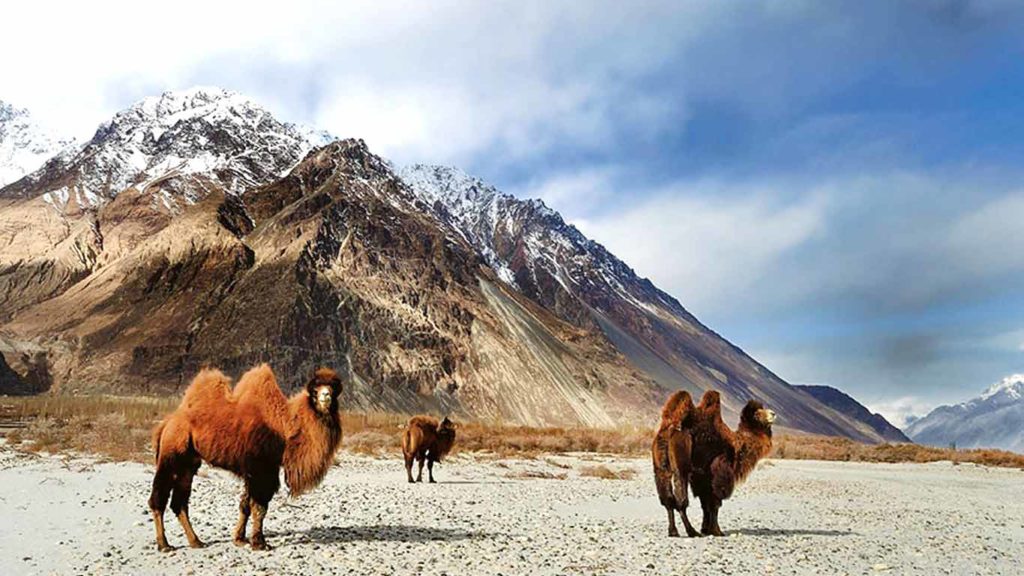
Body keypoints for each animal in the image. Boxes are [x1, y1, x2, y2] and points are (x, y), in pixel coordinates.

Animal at [148, 364, 342, 549]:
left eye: (333, 389)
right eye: (315, 390)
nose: (326, 396)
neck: (284, 426)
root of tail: (166, 423)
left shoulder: (252, 472)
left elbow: (245, 505)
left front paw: (240, 539)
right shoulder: (261, 469)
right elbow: (259, 506)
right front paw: (259, 543)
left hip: (188, 464)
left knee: (179, 502)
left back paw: (196, 541)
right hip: (171, 454)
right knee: (158, 498)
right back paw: (164, 544)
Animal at [651, 387, 700, 537]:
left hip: (660, 470)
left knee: (668, 499)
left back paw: (673, 530)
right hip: (680, 468)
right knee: (681, 500)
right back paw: (692, 531)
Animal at [688, 387, 774, 537]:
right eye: (757, 414)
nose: (773, 414)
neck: (737, 447)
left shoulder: (702, 481)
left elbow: (706, 505)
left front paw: (705, 529)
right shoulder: (718, 477)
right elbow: (715, 504)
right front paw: (717, 531)